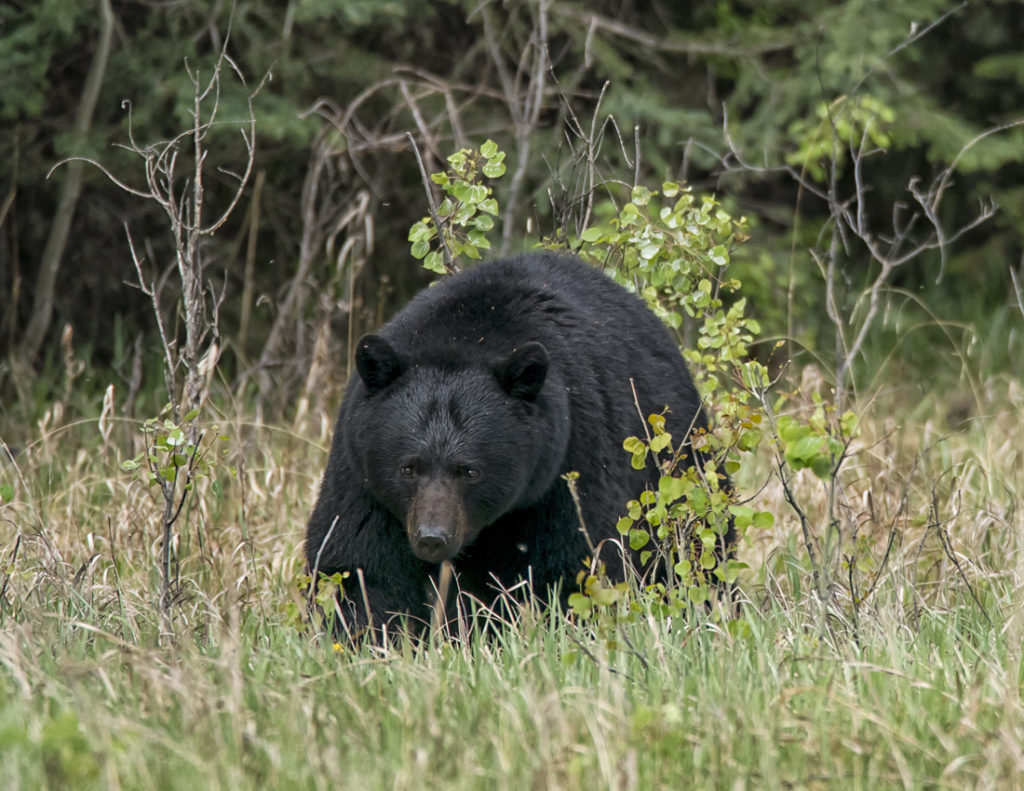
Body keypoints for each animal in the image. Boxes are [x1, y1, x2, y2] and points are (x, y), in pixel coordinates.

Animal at [303, 253, 729, 635]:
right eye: (408, 468)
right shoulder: (361, 474)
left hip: (679, 467)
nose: (432, 538)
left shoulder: (570, 461)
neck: (466, 335)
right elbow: (358, 565)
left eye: (469, 471)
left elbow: (580, 563)